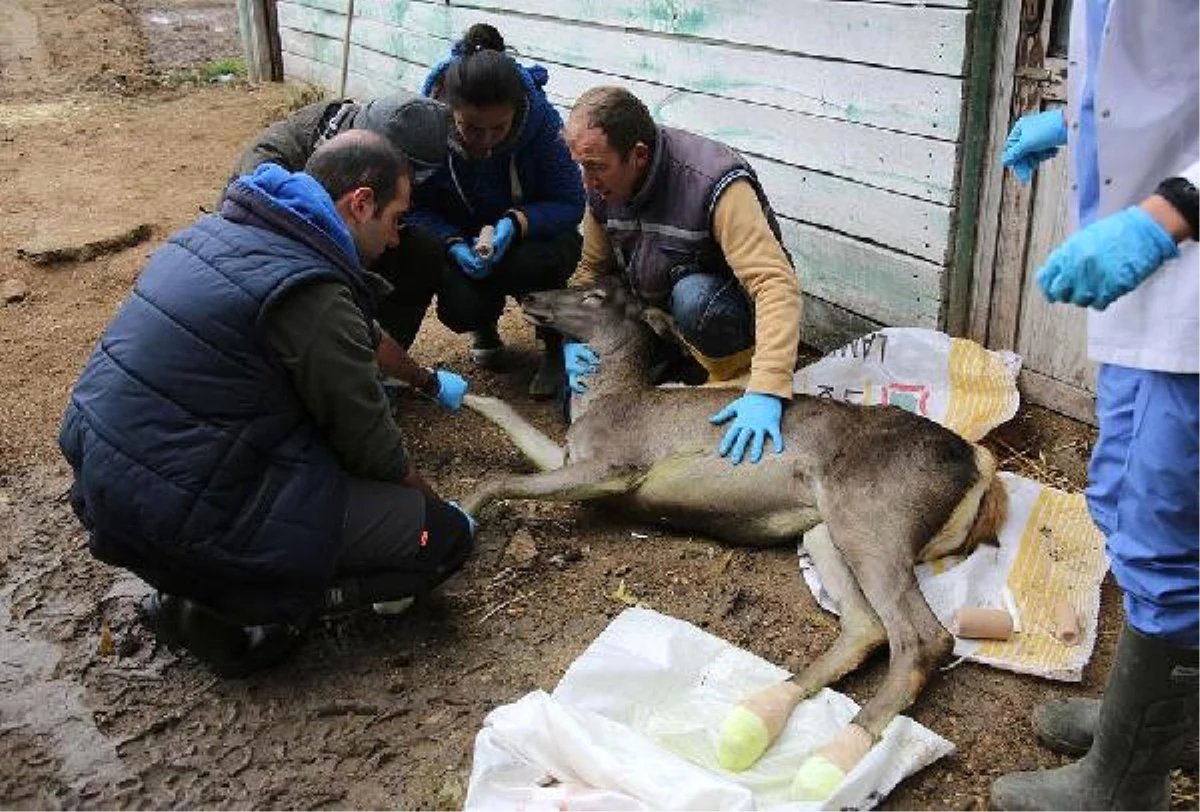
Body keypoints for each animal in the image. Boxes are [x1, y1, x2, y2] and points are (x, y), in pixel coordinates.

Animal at [458, 278, 1003, 796]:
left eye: (594, 295)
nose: (528, 295)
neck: (604, 403)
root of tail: (979, 466)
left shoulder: (617, 465)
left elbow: (501, 481)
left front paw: (463, 513)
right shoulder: (572, 460)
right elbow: (519, 433)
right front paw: (463, 394)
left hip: (873, 514)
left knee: (925, 637)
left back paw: (827, 763)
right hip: (825, 528)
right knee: (865, 627)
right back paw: (754, 720)